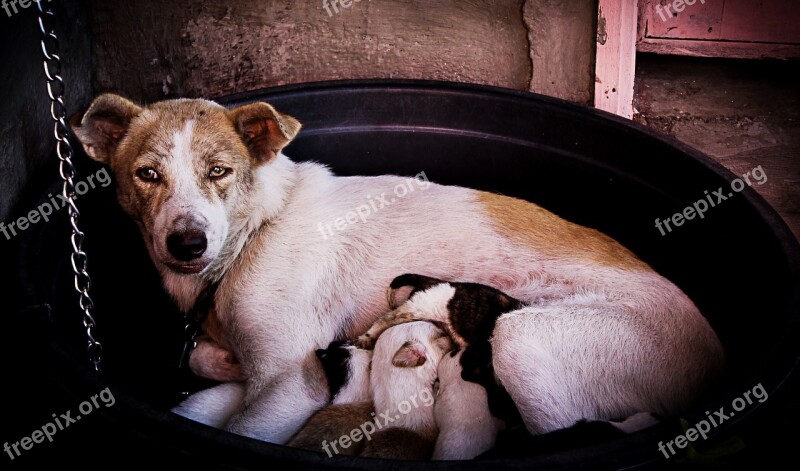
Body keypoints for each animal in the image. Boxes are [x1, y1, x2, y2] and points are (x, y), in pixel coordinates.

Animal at [73, 93, 724, 446]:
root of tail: (712, 355)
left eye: (219, 171)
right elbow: (209, 360)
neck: (257, 229)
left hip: (524, 339)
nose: (187, 243)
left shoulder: (290, 383)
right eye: (147, 174)